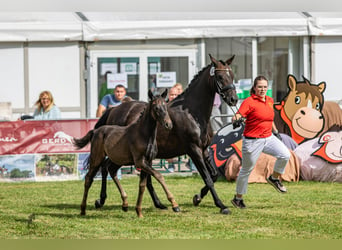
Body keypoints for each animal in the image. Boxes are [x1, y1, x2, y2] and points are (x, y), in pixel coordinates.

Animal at [74, 89, 176, 217]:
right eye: (156, 107)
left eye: (165, 106)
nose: (169, 124)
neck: (143, 134)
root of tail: (96, 131)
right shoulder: (140, 162)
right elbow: (159, 175)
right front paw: (174, 204)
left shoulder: (148, 161)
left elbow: (142, 185)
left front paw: (139, 211)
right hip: (97, 158)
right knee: (89, 178)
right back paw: (83, 209)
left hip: (118, 159)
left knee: (111, 170)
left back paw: (125, 203)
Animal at [94, 54, 238, 215]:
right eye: (219, 76)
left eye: (232, 75)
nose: (233, 99)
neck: (192, 113)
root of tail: (114, 109)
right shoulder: (193, 150)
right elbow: (207, 177)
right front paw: (221, 205)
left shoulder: (204, 149)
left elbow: (213, 176)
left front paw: (197, 198)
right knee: (106, 167)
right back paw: (102, 200)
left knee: (124, 172)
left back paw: (158, 203)